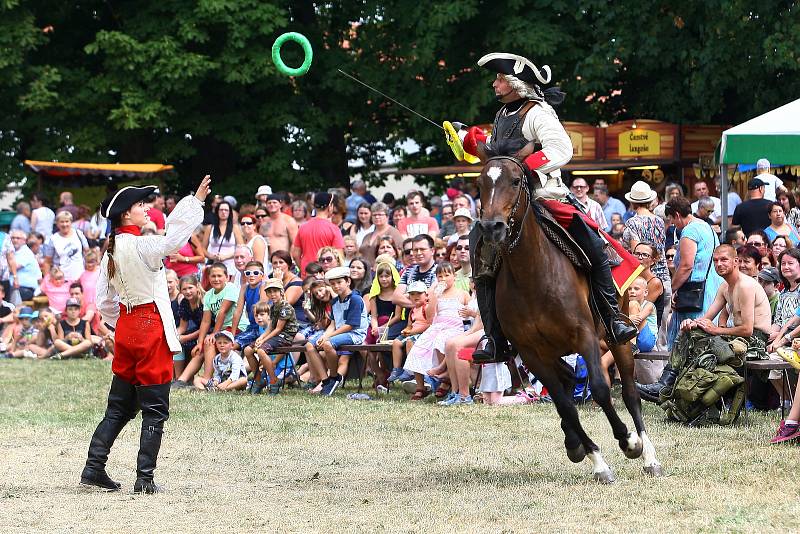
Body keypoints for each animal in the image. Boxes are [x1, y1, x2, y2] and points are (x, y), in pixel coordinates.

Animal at [476, 144, 664, 484]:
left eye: (515, 181)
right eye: (481, 183)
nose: (491, 227)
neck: (532, 274)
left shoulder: (584, 336)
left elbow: (601, 389)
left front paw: (627, 441)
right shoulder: (531, 352)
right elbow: (564, 404)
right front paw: (595, 459)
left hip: (616, 339)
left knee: (630, 393)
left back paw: (648, 454)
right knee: (566, 384)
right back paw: (574, 442)